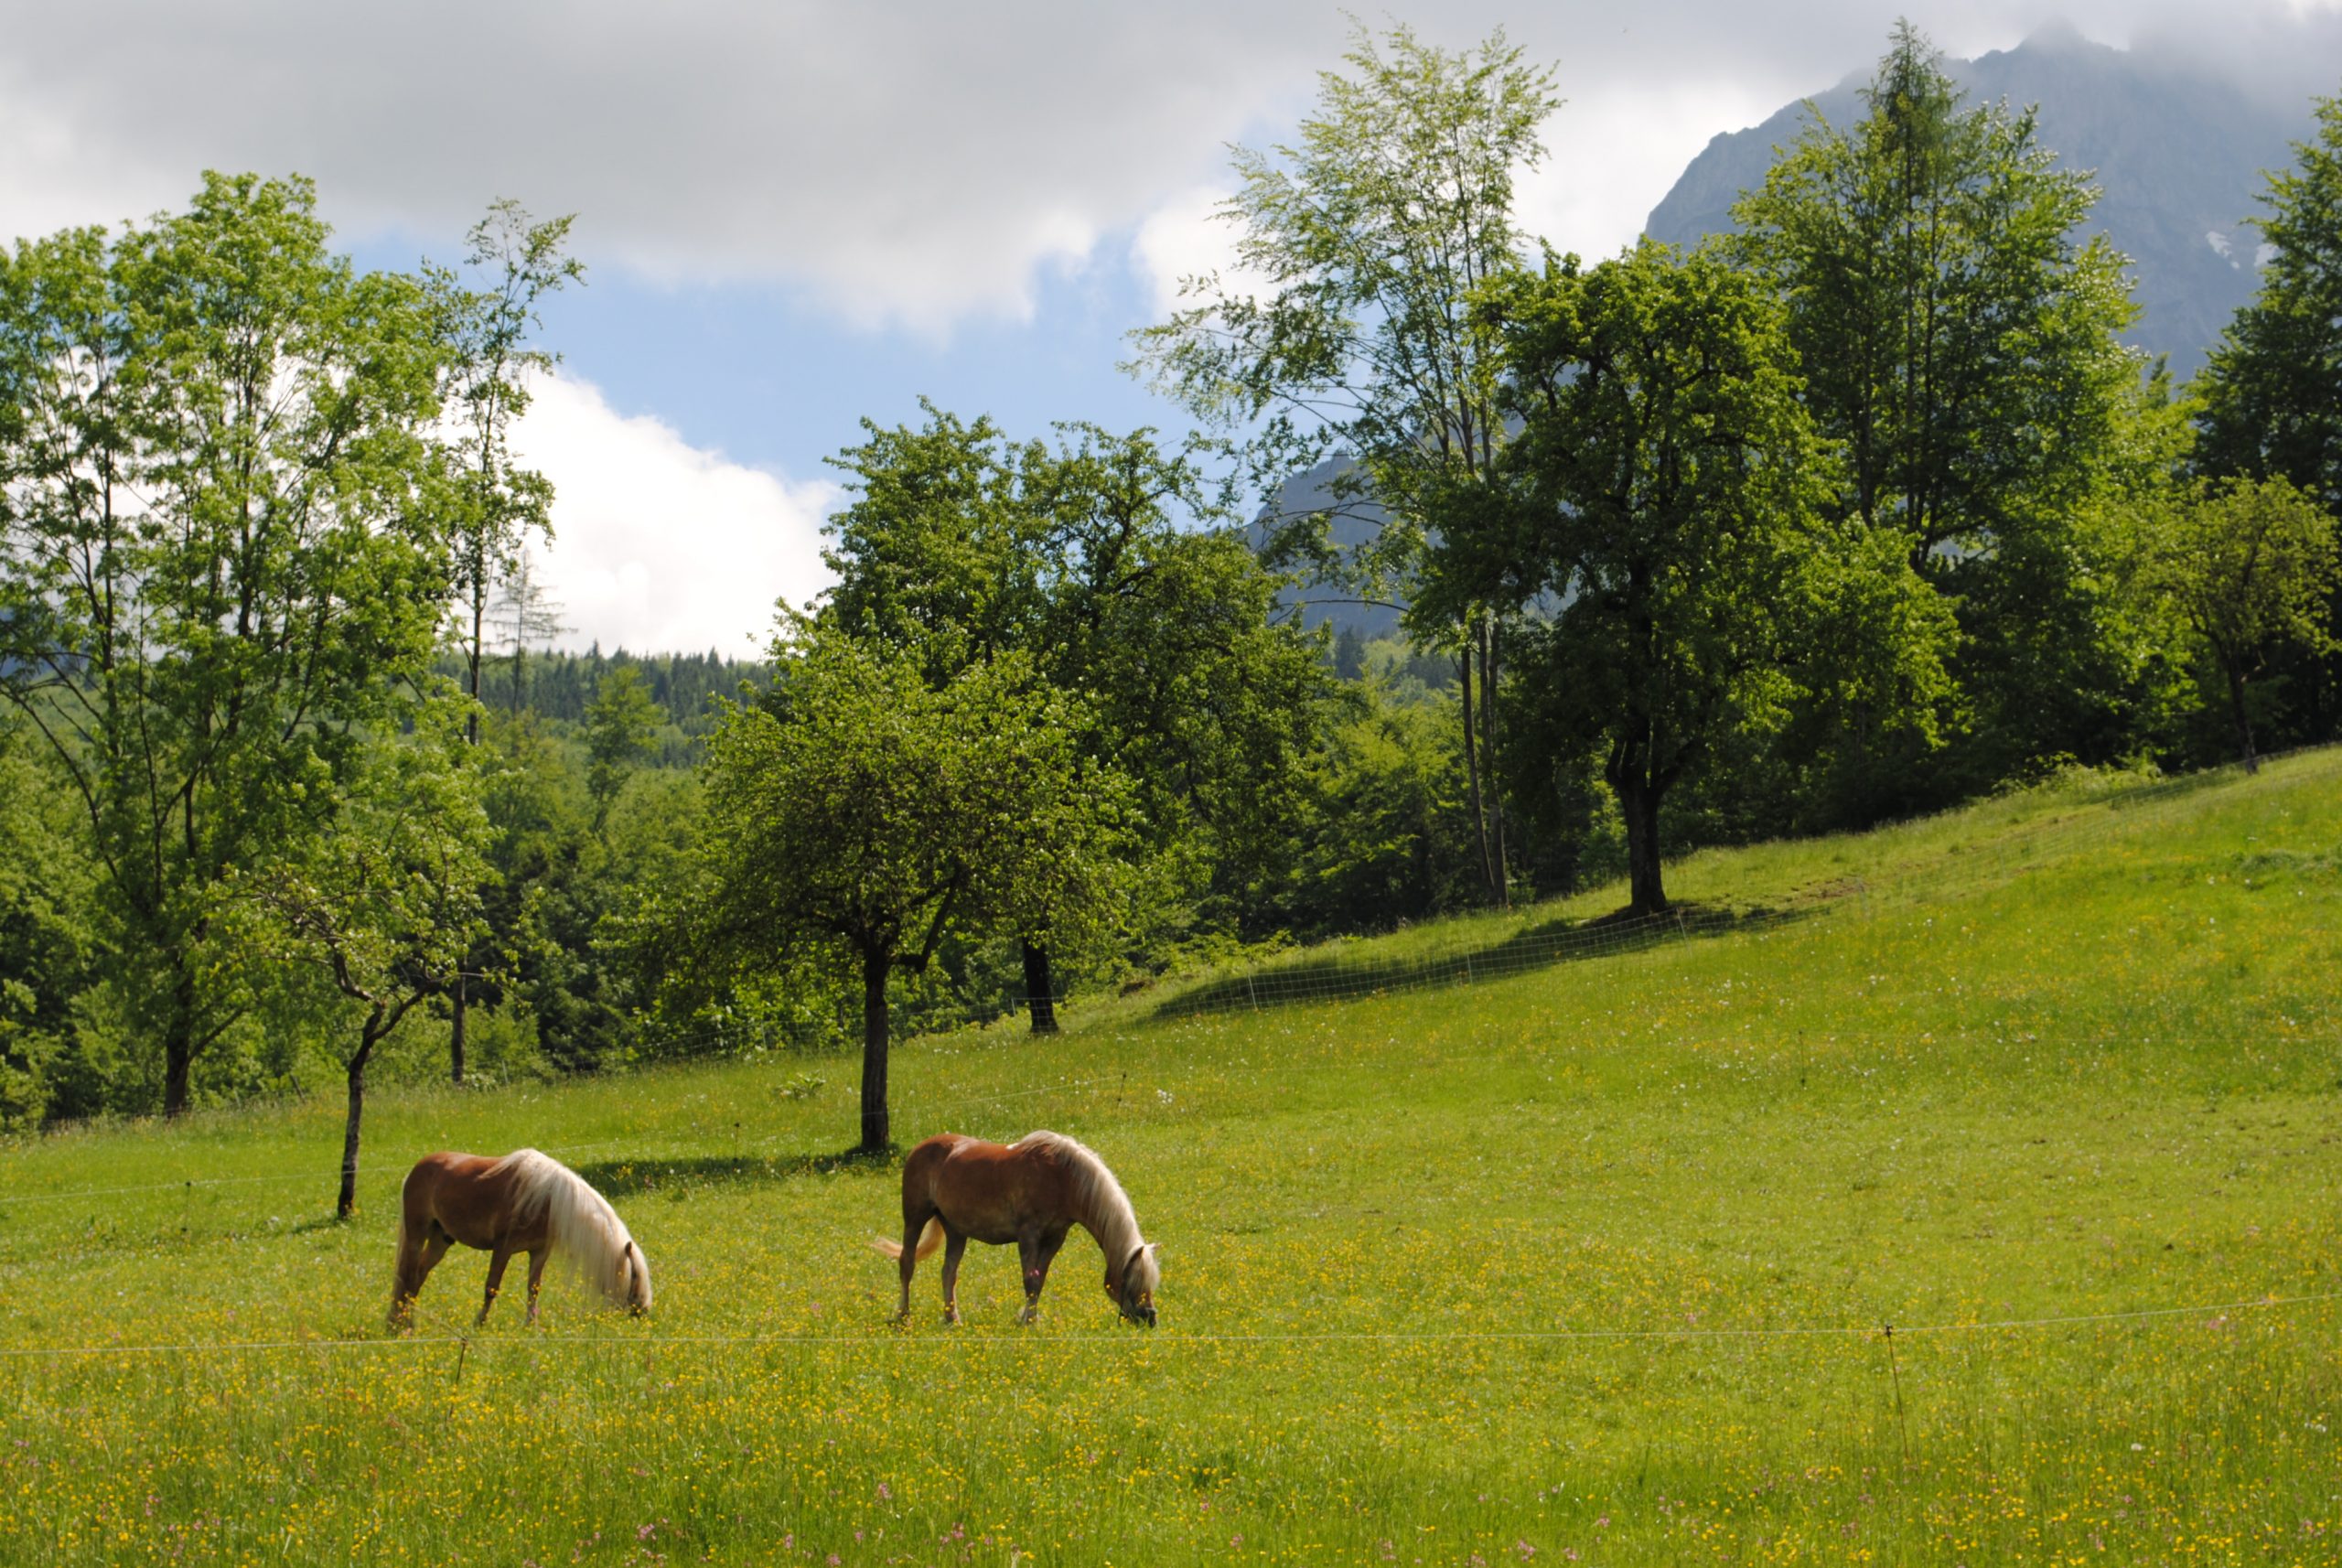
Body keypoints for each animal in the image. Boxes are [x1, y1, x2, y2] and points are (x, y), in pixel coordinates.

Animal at [388, 1146, 650, 1329]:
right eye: (634, 1275)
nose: (643, 1311)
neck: (548, 1201)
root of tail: (416, 1169)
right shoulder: (502, 1248)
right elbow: (491, 1288)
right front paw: (479, 1324)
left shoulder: (539, 1251)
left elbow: (533, 1289)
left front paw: (531, 1326)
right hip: (417, 1235)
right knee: (408, 1275)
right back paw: (401, 1324)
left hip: (440, 1239)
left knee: (418, 1276)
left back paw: (407, 1322)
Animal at [871, 1133, 1161, 1329]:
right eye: (1132, 1281)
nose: (1149, 1318)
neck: (1062, 1178)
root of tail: (921, 1148)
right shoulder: (1028, 1234)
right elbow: (1030, 1280)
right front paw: (1028, 1322)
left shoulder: (1055, 1237)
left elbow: (1039, 1281)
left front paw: (1029, 1318)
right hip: (915, 1218)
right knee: (907, 1263)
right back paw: (904, 1315)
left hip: (956, 1230)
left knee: (949, 1273)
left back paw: (952, 1318)